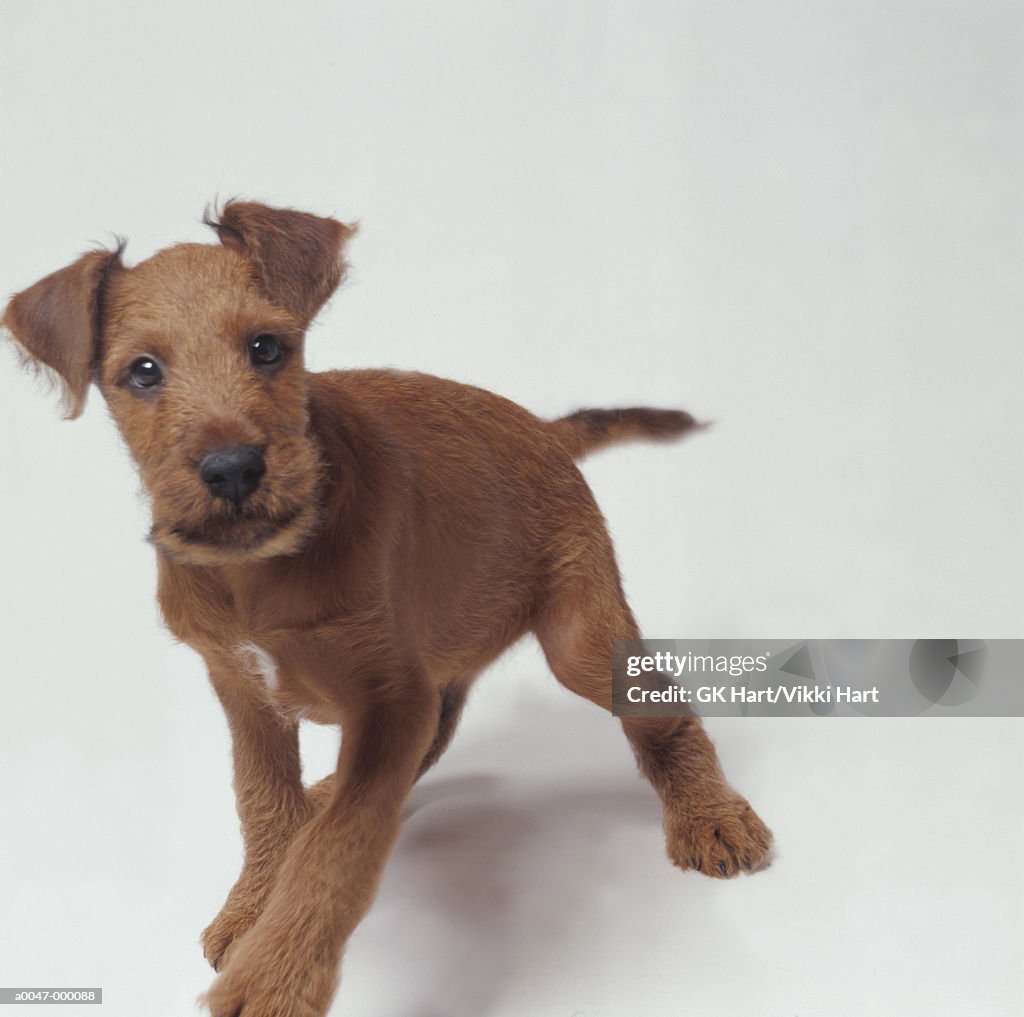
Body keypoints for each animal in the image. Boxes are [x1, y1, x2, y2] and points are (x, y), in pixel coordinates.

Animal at [0, 202, 770, 1015]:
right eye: (142, 371)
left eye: (267, 348)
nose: (233, 470)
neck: (259, 571)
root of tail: (542, 429)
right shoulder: (246, 691)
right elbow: (264, 805)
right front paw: (253, 911)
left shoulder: (389, 696)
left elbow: (340, 845)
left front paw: (272, 979)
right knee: (428, 735)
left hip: (578, 638)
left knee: (661, 708)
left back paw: (713, 817)